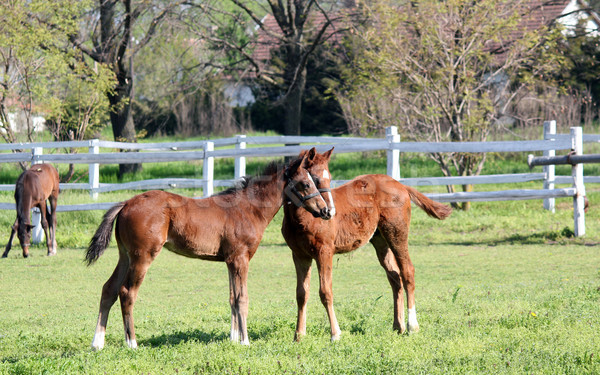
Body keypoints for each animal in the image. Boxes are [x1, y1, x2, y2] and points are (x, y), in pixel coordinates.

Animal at [85, 148, 332, 352]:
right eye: (306, 184)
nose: (326, 211)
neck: (248, 209)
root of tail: (126, 203)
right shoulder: (240, 258)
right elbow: (242, 298)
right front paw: (245, 341)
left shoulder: (230, 261)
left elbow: (232, 297)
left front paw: (234, 339)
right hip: (142, 256)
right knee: (127, 292)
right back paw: (132, 343)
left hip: (125, 255)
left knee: (108, 289)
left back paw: (97, 343)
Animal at [284, 148, 452, 342]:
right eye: (312, 181)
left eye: (328, 178)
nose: (329, 211)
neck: (301, 219)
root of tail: (401, 185)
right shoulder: (299, 255)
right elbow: (301, 294)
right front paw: (298, 336)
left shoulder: (324, 252)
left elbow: (325, 291)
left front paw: (335, 335)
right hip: (380, 241)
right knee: (395, 277)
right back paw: (398, 326)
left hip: (397, 234)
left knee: (407, 271)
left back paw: (412, 326)